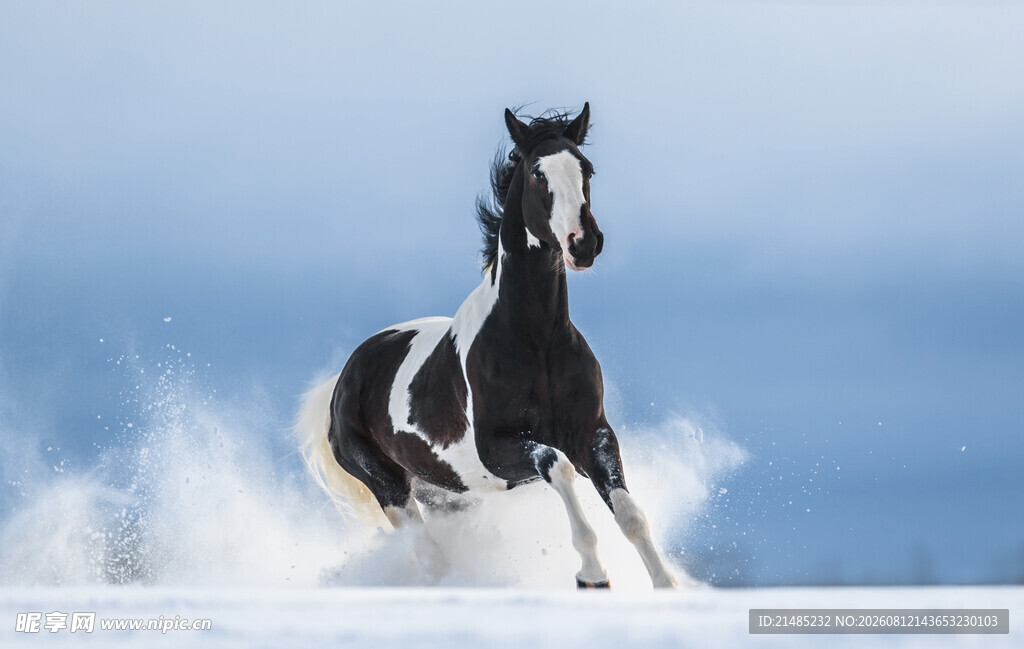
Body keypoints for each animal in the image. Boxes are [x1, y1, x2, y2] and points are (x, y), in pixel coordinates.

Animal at [298, 103, 678, 589]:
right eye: (537, 172)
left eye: (586, 168)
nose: (584, 243)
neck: (536, 342)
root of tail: (341, 380)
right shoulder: (498, 451)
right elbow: (558, 466)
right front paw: (592, 574)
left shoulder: (593, 433)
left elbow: (630, 516)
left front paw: (667, 585)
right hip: (391, 488)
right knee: (430, 557)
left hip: (449, 491)